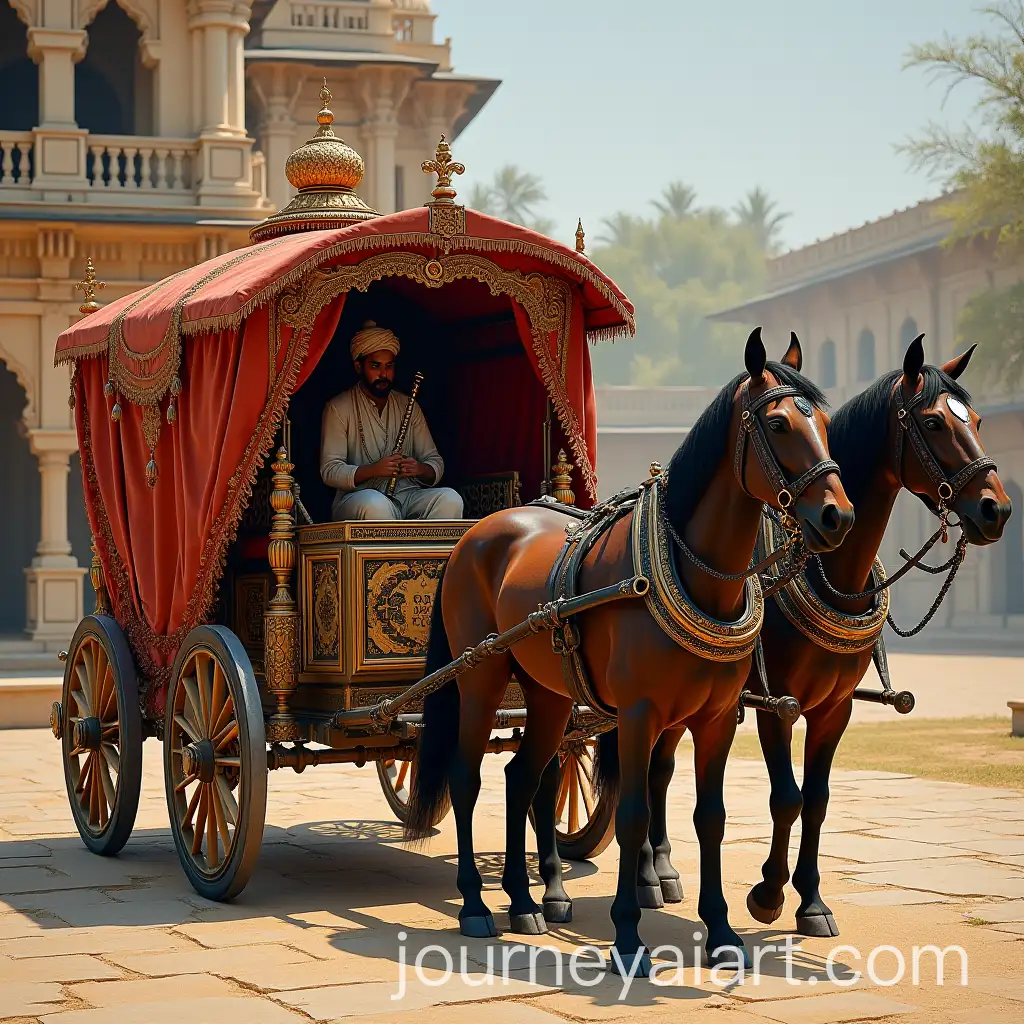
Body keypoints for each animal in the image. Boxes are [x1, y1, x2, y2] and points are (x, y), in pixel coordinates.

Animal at [406, 327, 855, 975]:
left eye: (822, 419)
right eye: (777, 424)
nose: (837, 515)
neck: (698, 577)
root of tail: (476, 532)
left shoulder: (718, 716)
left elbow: (710, 816)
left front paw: (722, 929)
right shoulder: (640, 713)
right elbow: (634, 812)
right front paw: (627, 934)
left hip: (548, 692)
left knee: (523, 777)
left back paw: (524, 902)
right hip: (481, 673)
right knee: (467, 778)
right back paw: (475, 904)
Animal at [599, 333, 1011, 941]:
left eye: (978, 420)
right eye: (935, 422)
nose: (996, 508)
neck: (826, 572)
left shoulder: (835, 705)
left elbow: (816, 799)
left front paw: (812, 902)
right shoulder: (778, 702)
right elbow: (785, 797)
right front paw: (768, 893)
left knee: (661, 767)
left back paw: (662, 872)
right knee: (653, 766)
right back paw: (649, 877)